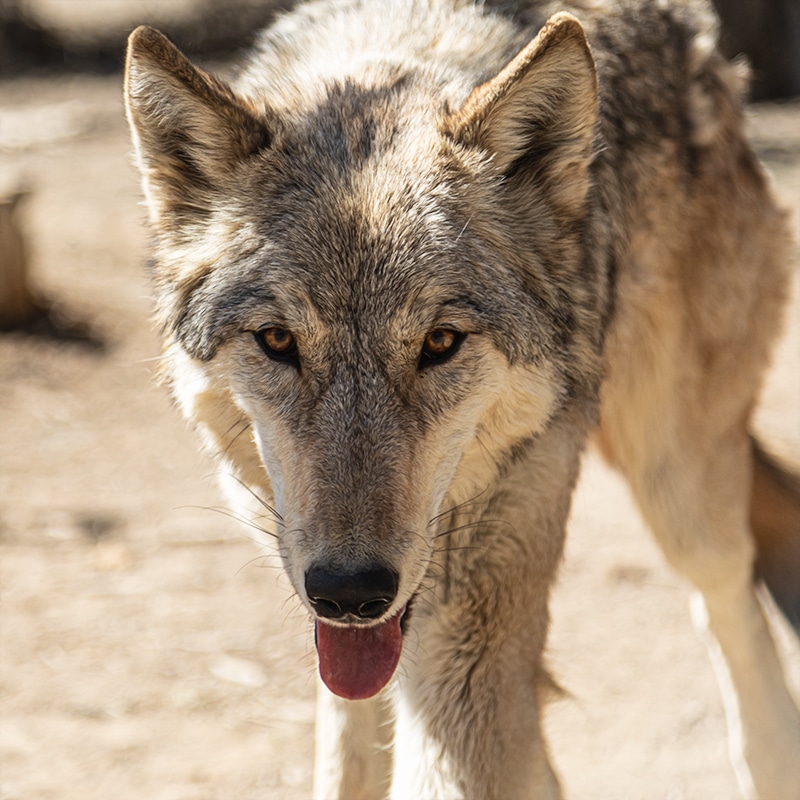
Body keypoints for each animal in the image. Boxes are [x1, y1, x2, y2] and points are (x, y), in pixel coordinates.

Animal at [124, 0, 800, 797]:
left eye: (441, 342)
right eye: (279, 341)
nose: (350, 589)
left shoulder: (472, 637)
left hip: (678, 489)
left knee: (730, 600)